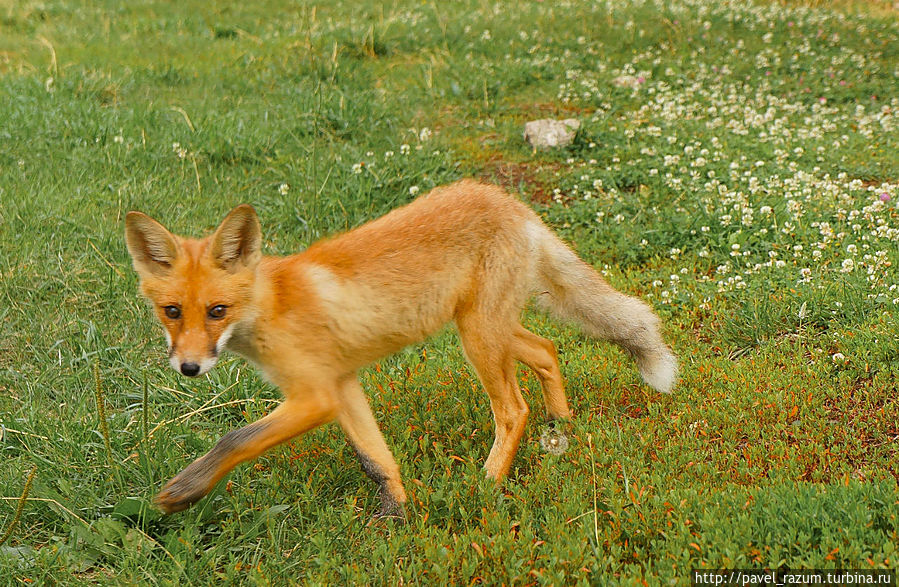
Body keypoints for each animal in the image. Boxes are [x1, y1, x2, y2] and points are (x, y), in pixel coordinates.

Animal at [125, 178, 676, 516]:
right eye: (172, 311)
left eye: (217, 311)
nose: (189, 367)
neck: (272, 305)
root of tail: (506, 199)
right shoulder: (341, 385)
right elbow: (376, 461)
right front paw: (396, 516)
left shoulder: (314, 395)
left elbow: (233, 440)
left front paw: (183, 492)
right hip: (484, 327)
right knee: (546, 349)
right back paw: (561, 425)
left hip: (479, 336)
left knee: (513, 410)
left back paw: (487, 485)